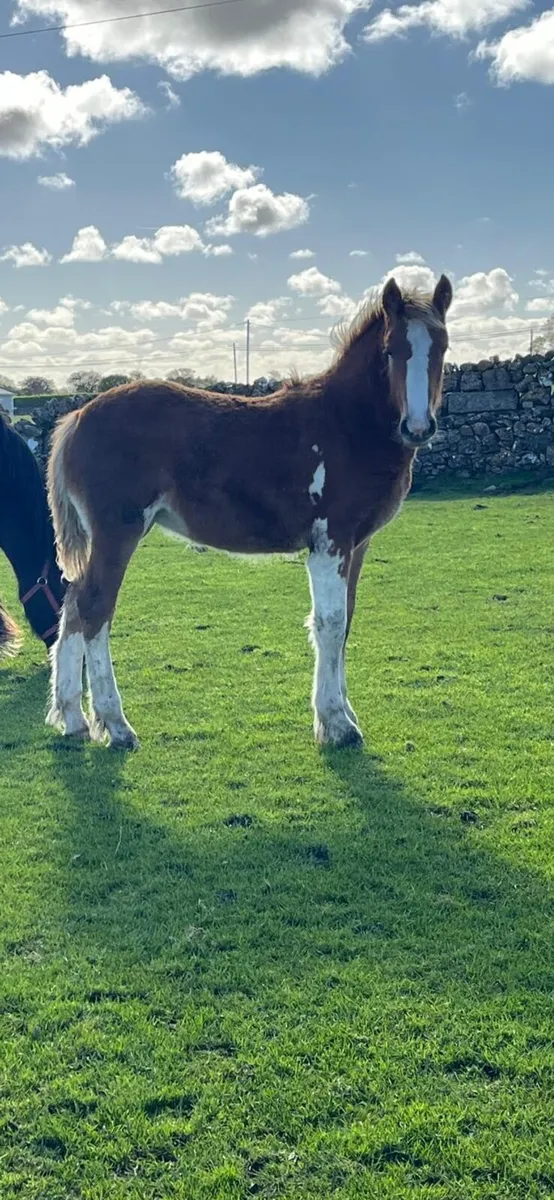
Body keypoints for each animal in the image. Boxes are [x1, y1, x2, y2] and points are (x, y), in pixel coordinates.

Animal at [46, 274, 453, 751]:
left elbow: (347, 620)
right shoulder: (329, 541)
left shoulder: (358, 543)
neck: (346, 424)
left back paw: (73, 717)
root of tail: (77, 415)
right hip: (118, 531)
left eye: (442, 347)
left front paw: (343, 713)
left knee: (73, 603)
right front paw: (336, 723)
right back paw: (115, 725)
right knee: (95, 606)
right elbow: (330, 623)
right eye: (391, 349)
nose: (418, 428)